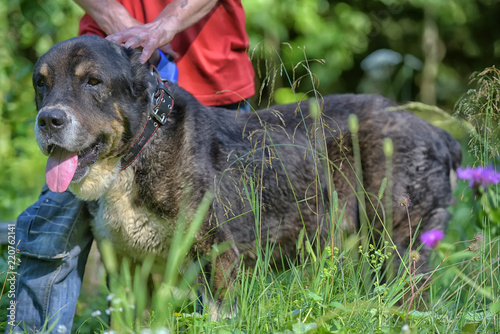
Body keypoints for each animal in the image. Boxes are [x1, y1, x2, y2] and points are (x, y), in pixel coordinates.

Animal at [32, 36, 460, 316]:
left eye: (93, 82)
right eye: (41, 83)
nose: (48, 120)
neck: (142, 147)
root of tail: (438, 134)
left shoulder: (217, 257)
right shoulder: (127, 270)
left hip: (400, 247)